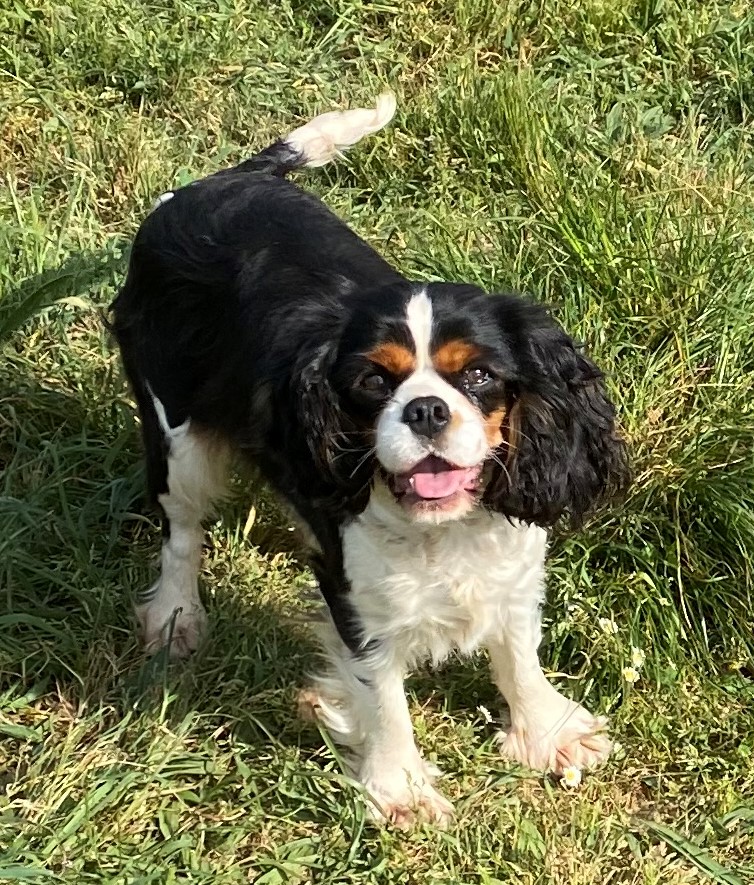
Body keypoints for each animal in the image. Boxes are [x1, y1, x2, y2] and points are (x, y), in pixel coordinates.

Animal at [110, 93, 628, 824]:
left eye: (479, 375)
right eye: (373, 382)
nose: (426, 410)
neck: (442, 529)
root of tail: (206, 187)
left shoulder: (512, 561)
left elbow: (517, 649)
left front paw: (546, 732)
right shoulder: (356, 595)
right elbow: (381, 691)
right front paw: (401, 789)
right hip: (177, 436)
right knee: (181, 530)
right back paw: (177, 617)